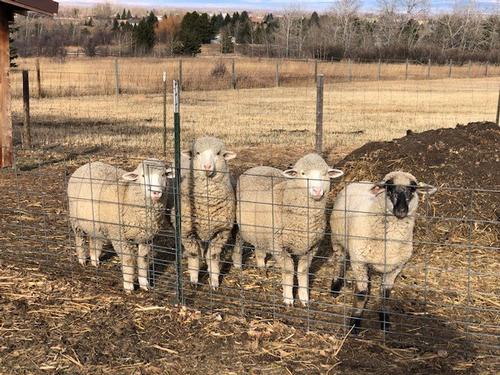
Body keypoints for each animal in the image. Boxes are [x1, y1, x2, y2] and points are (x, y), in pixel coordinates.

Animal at [67, 160, 174, 292]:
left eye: (163, 175)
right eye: (143, 176)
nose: (156, 192)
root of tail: (87, 164)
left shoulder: (147, 238)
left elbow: (143, 261)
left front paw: (144, 284)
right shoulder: (119, 237)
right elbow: (128, 260)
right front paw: (128, 286)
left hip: (94, 223)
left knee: (94, 240)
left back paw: (95, 261)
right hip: (76, 220)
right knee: (80, 239)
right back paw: (82, 260)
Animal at [173, 137, 237, 290]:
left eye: (219, 153)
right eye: (197, 153)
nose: (207, 166)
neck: (207, 205)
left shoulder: (221, 232)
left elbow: (212, 257)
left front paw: (214, 281)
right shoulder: (187, 231)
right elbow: (194, 255)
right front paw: (194, 280)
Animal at [234, 154, 344, 306]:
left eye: (324, 174)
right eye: (302, 173)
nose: (317, 191)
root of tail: (257, 167)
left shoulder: (312, 247)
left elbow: (303, 271)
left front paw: (304, 298)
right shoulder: (278, 246)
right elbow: (288, 271)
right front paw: (288, 298)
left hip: (261, 231)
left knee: (259, 247)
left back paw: (261, 268)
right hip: (243, 225)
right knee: (238, 240)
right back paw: (237, 263)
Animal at [330, 172, 436, 334]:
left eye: (412, 189)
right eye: (389, 188)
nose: (401, 211)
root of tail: (360, 181)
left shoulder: (395, 267)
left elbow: (385, 295)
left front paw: (385, 321)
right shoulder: (359, 262)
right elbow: (361, 295)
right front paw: (354, 323)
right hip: (337, 238)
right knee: (339, 260)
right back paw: (335, 285)